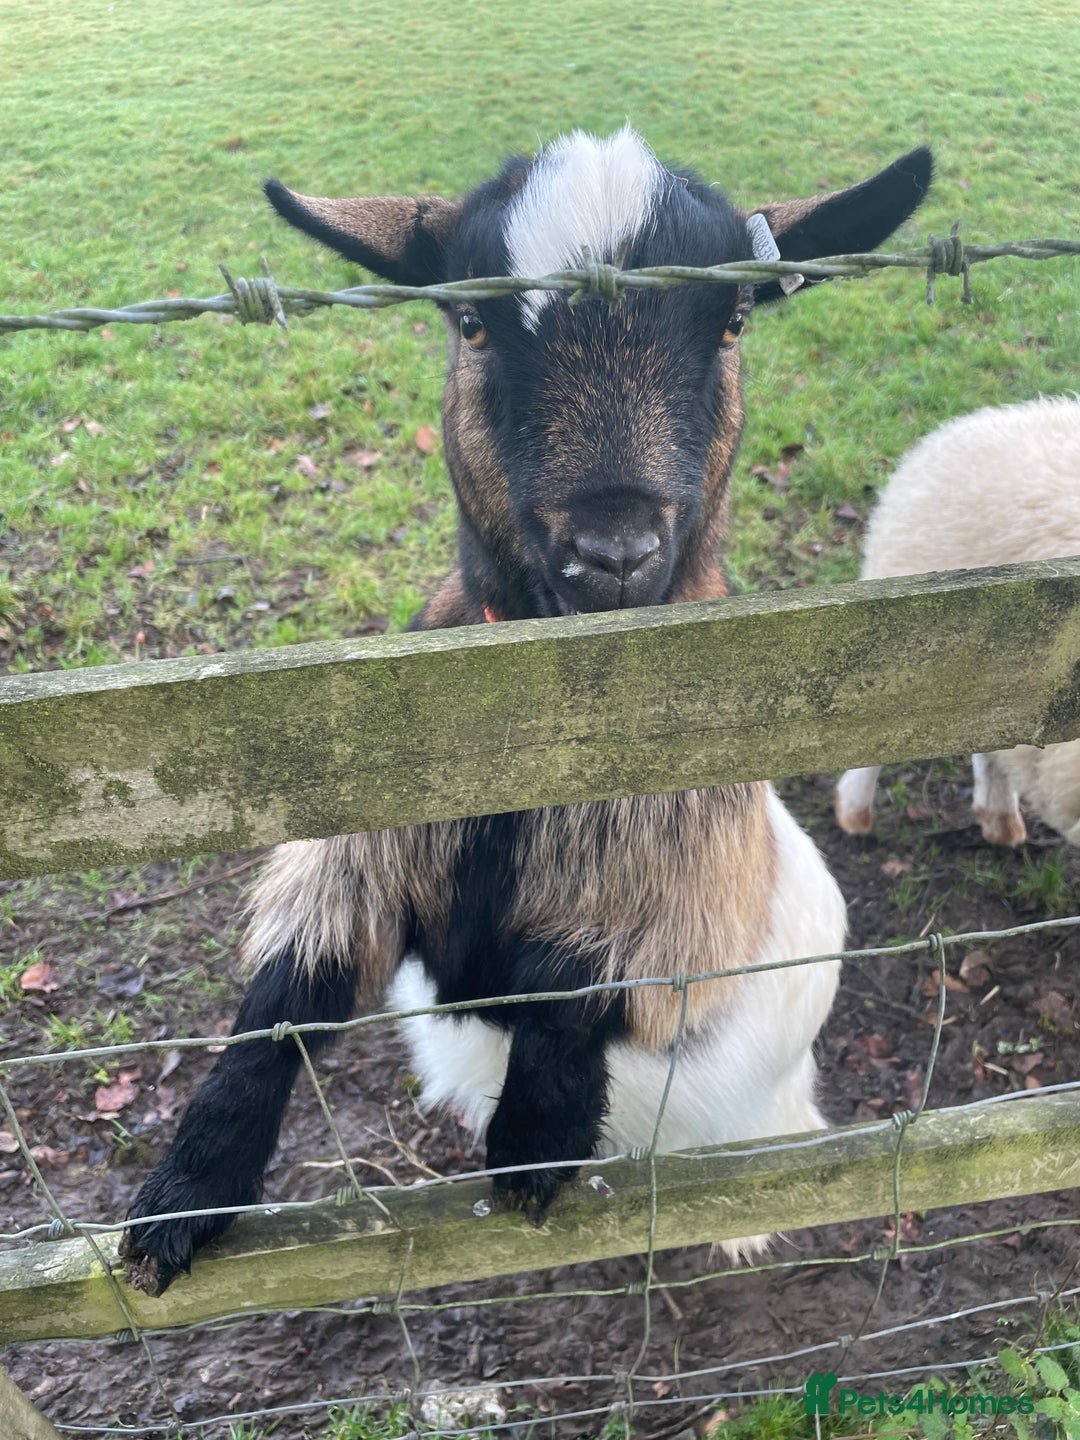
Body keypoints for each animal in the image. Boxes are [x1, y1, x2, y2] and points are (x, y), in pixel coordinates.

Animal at [121, 128, 932, 1295]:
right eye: (471, 321)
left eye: (734, 318)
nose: (614, 550)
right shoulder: (364, 839)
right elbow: (286, 995)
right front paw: (185, 1192)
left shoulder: (683, 882)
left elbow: (576, 983)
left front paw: (534, 1147)